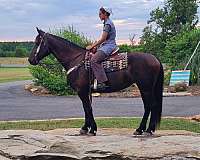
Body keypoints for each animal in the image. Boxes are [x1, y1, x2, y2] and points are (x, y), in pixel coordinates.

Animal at [28, 28, 163, 136]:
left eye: (37, 42)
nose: (30, 60)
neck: (76, 60)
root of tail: (155, 58)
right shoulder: (86, 92)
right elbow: (87, 108)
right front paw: (86, 128)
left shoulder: (82, 91)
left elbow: (87, 108)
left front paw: (91, 129)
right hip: (145, 88)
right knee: (150, 106)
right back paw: (145, 130)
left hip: (145, 88)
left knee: (150, 106)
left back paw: (144, 130)